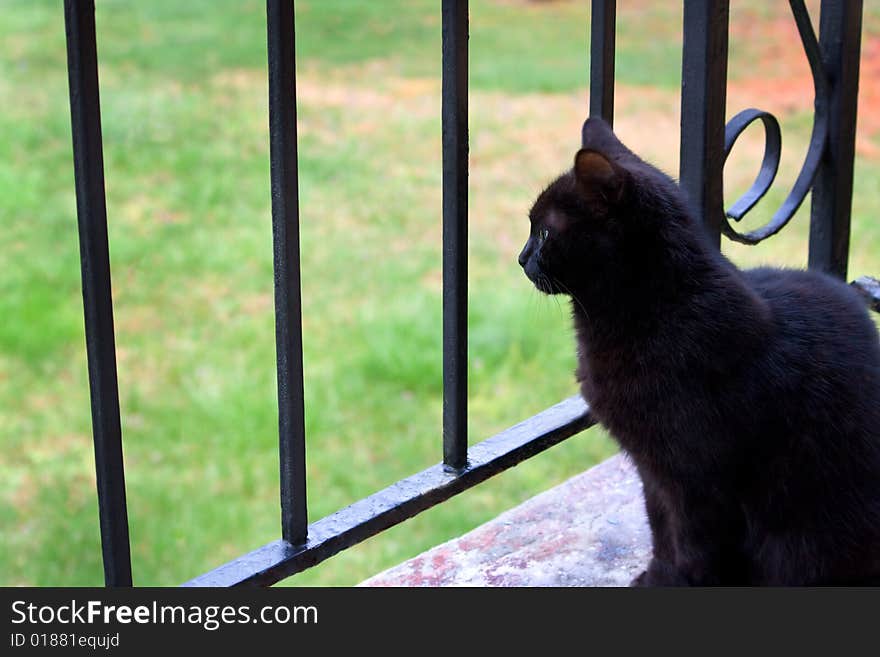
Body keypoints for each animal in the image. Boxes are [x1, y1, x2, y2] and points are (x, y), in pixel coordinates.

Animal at [520, 118, 880, 584]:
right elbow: (660, 529)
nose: (521, 256)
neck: (662, 311)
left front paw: (673, 583)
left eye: (545, 232)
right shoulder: (653, 473)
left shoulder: (698, 483)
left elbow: (693, 547)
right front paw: (656, 574)